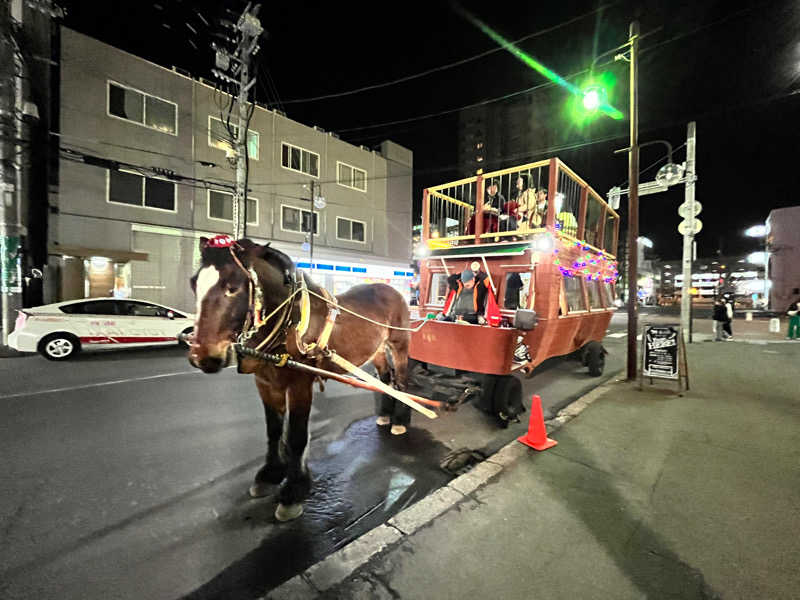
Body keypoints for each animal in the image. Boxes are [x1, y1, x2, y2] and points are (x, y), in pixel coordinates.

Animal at [188, 234, 412, 520]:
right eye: (194, 283)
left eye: (233, 287)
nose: (203, 356)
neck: (288, 324)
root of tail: (391, 290)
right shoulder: (265, 383)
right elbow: (273, 430)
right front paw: (270, 474)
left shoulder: (299, 384)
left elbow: (296, 436)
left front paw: (293, 492)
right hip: (378, 351)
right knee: (385, 379)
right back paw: (384, 415)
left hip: (399, 344)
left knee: (402, 382)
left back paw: (399, 422)